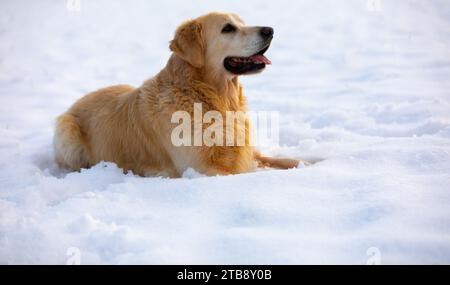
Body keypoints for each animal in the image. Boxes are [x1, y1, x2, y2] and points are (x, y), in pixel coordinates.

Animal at [54, 12, 304, 176]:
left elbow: (288, 160)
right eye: (228, 28)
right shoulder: (202, 168)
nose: (270, 30)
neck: (214, 98)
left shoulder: (247, 153)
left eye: (243, 23)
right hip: (67, 133)